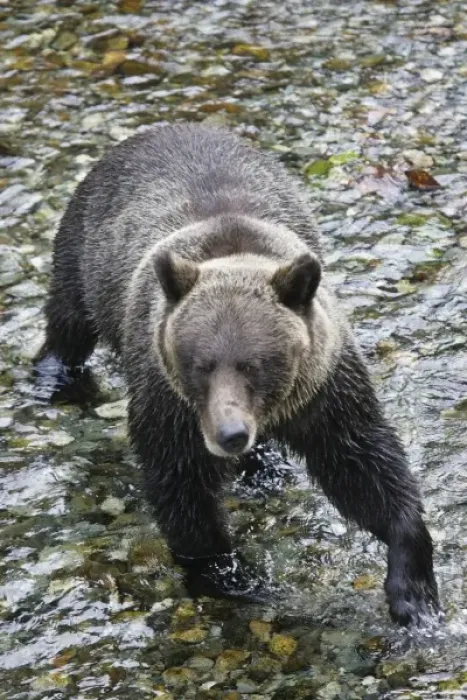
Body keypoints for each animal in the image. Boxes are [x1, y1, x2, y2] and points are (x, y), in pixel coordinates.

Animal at [34, 122, 439, 626]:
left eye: (255, 363)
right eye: (200, 364)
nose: (230, 434)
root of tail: (162, 127)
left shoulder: (327, 391)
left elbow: (362, 467)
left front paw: (413, 591)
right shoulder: (171, 405)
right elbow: (182, 487)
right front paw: (231, 574)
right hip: (84, 255)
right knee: (68, 319)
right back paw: (53, 376)